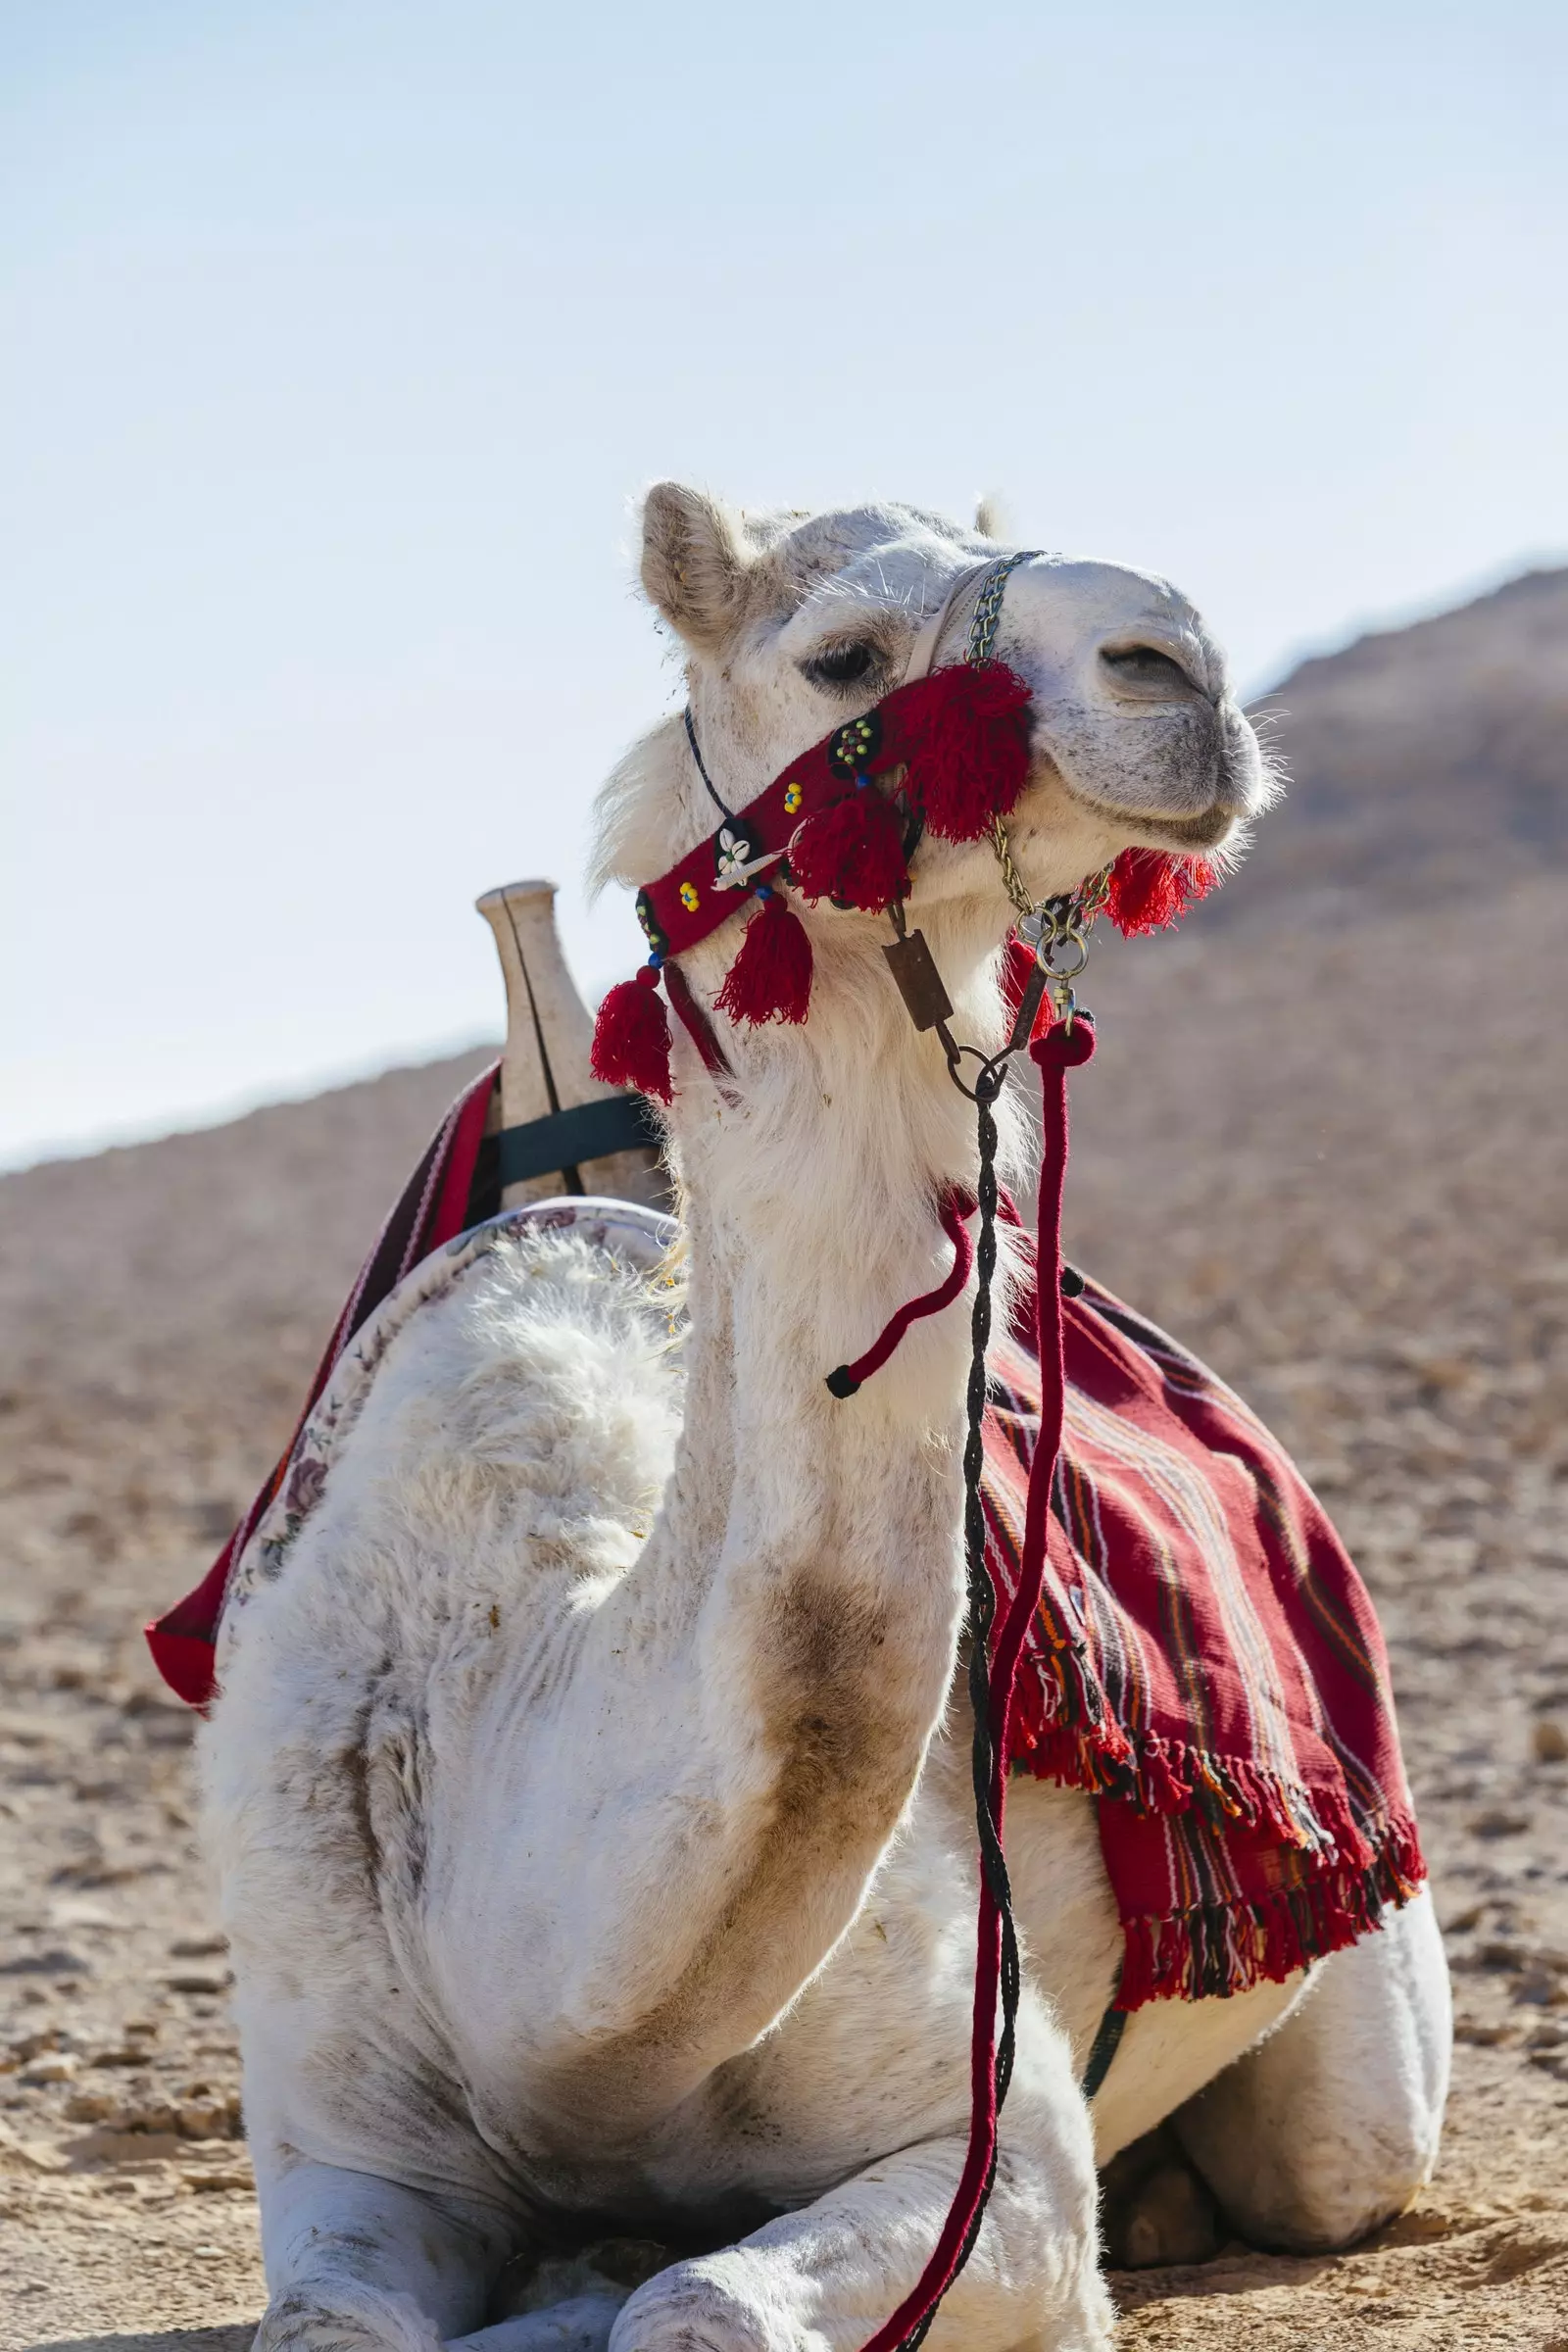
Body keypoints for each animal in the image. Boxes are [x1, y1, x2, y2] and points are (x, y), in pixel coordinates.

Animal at [202, 482, 1457, 2352]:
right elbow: (339, 2321)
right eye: (844, 653)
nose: (1184, 665)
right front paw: (561, 2270)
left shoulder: (1001, 2150)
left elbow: (701, 2306)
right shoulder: (341, 2136)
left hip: (1363, 2018)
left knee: (1331, 2156)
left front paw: (594, 2281)